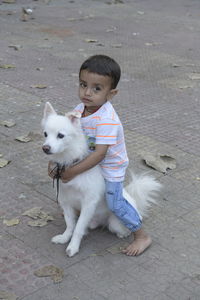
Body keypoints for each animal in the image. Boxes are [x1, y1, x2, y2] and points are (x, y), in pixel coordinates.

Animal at [41, 102, 161, 256]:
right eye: (45, 134)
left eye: (60, 135)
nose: (45, 148)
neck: (69, 162)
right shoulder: (65, 200)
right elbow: (70, 223)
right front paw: (64, 237)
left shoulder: (88, 203)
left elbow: (78, 228)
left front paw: (73, 246)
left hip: (116, 222)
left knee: (129, 226)